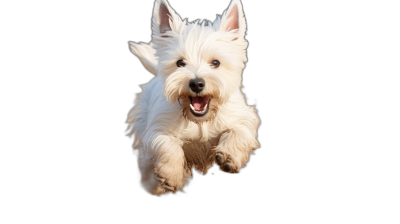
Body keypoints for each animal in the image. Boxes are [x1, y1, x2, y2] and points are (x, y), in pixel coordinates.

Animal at [126, 0, 260, 196]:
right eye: (180, 63)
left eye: (215, 62)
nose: (196, 84)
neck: (200, 121)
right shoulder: (157, 127)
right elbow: (167, 143)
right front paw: (171, 176)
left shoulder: (242, 116)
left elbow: (238, 130)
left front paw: (229, 156)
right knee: (147, 166)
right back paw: (153, 186)